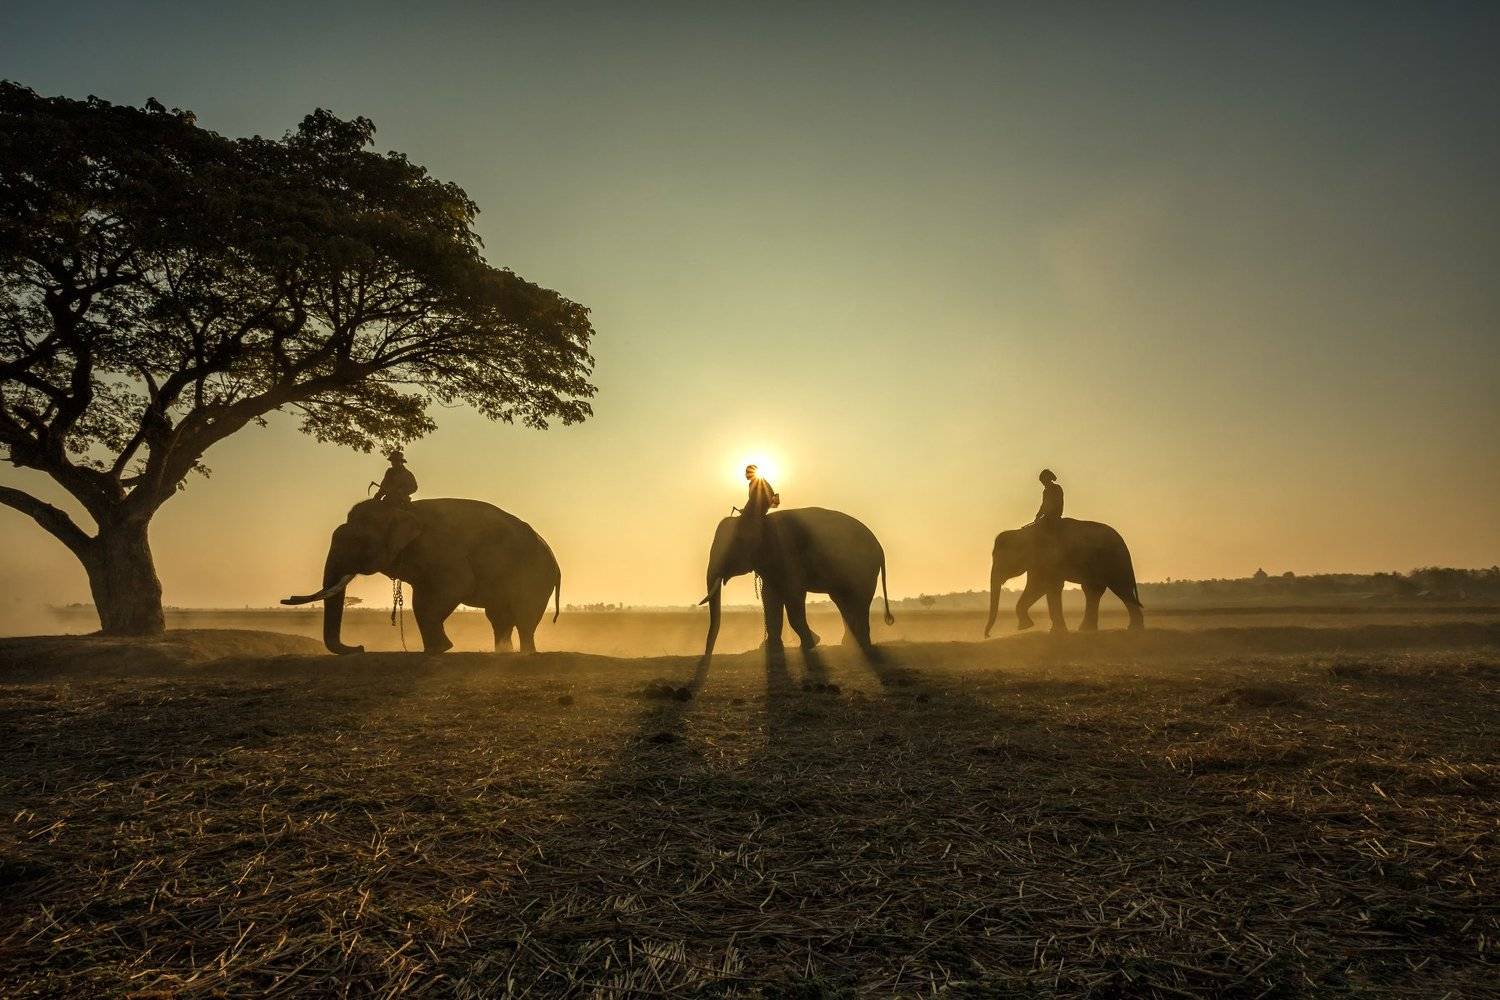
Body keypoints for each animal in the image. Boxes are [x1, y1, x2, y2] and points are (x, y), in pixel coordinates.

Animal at [283, 498, 561, 655]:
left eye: (358, 542)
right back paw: (503, 652)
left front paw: (440, 649)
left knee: (524, 615)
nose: (360, 647)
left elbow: (454, 586)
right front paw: (436, 649)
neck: (400, 510)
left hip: (536, 576)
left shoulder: (441, 548)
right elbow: (422, 598)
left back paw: (526, 654)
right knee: (499, 617)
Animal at [699, 506, 894, 659]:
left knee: (859, 601)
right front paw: (773, 650)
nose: (707, 654)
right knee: (843, 602)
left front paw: (812, 643)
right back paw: (850, 645)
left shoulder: (787, 554)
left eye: (735, 544)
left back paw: (862, 645)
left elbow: (793, 594)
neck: (760, 519)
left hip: (864, 569)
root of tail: (880, 547)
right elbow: (770, 598)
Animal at [983, 518, 1144, 636]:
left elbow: (1043, 586)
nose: (988, 635)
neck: (1023, 533)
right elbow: (1041, 587)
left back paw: (1134, 629)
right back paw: (1087, 629)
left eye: (1003, 559)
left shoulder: (1050, 559)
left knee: (1120, 588)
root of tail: (1123, 542)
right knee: (1092, 590)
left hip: (1113, 562)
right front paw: (1030, 626)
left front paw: (1027, 626)